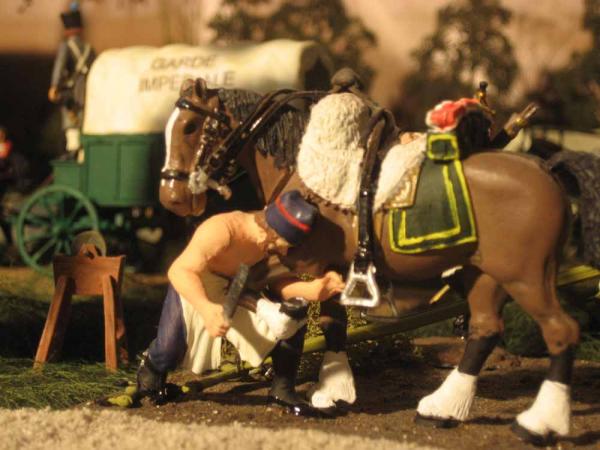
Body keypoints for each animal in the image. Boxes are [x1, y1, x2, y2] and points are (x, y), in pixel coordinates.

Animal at [157, 78, 596, 446]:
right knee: (485, 332)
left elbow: (251, 281)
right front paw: (333, 391)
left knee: (559, 332)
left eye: (190, 127)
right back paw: (441, 409)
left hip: (526, 277)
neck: (301, 171)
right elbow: (332, 323)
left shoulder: (306, 260)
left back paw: (538, 424)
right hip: (484, 275)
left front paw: (278, 328)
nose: (171, 199)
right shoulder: (331, 268)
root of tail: (548, 171)